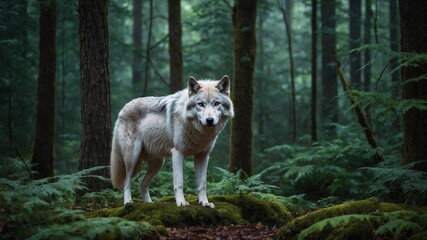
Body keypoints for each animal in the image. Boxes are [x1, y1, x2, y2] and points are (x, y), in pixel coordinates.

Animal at [110, 76, 234, 207]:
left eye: (216, 103)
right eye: (201, 104)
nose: (209, 120)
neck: (199, 132)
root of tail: (122, 110)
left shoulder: (203, 155)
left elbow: (202, 183)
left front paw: (204, 203)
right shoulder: (178, 153)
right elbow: (179, 183)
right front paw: (181, 202)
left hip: (158, 163)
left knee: (141, 183)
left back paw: (149, 203)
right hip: (132, 158)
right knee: (126, 181)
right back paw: (128, 202)